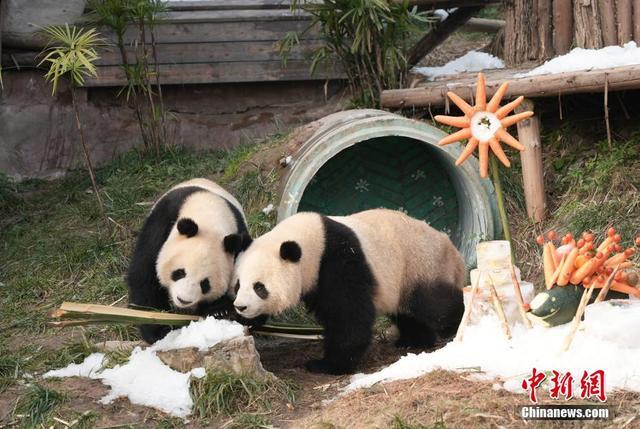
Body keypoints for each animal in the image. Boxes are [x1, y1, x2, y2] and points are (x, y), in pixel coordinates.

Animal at [128, 179, 252, 342]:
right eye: (179, 273)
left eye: (205, 284)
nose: (183, 300)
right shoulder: (161, 224)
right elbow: (144, 276)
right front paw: (157, 330)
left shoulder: (239, 240)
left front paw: (220, 311)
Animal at [230, 209, 464, 372]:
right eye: (238, 284)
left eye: (259, 287)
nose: (241, 306)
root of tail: (453, 250)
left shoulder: (339, 260)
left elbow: (349, 315)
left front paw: (326, 365)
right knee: (408, 313)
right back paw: (413, 341)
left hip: (419, 264)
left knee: (434, 303)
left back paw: (454, 325)